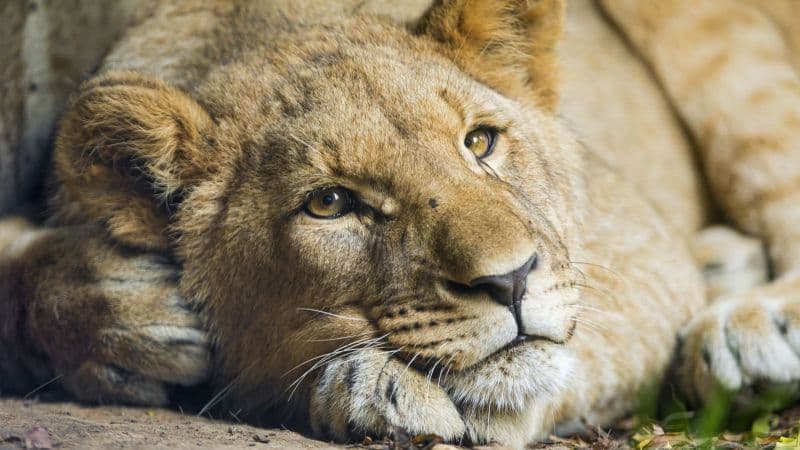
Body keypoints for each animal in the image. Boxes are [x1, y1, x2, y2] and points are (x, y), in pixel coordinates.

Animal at [1, 0, 800, 447]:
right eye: (330, 204)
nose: (511, 281)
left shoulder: (641, 248)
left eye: (480, 141)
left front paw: (370, 385)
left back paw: (750, 326)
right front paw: (113, 310)